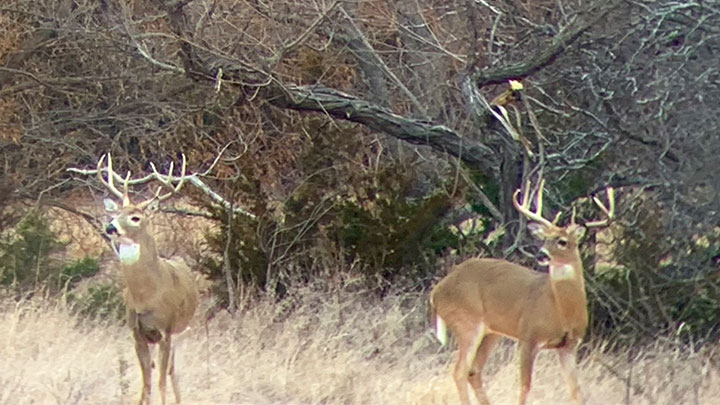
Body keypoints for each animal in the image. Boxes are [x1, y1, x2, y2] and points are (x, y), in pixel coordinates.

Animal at [76, 153, 198, 402]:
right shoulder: (137, 334)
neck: (147, 296)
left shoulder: (166, 331)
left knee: (172, 372)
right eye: (115, 214)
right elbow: (146, 383)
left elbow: (160, 382)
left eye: (135, 218)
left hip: (184, 329)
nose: (110, 227)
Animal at [430, 177, 616, 404]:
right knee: (459, 372)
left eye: (562, 241)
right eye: (544, 238)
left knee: (474, 371)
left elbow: (576, 392)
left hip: (491, 333)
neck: (561, 310)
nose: (541, 254)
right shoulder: (528, 336)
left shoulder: (569, 346)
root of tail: (437, 292)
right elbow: (525, 387)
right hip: (466, 322)